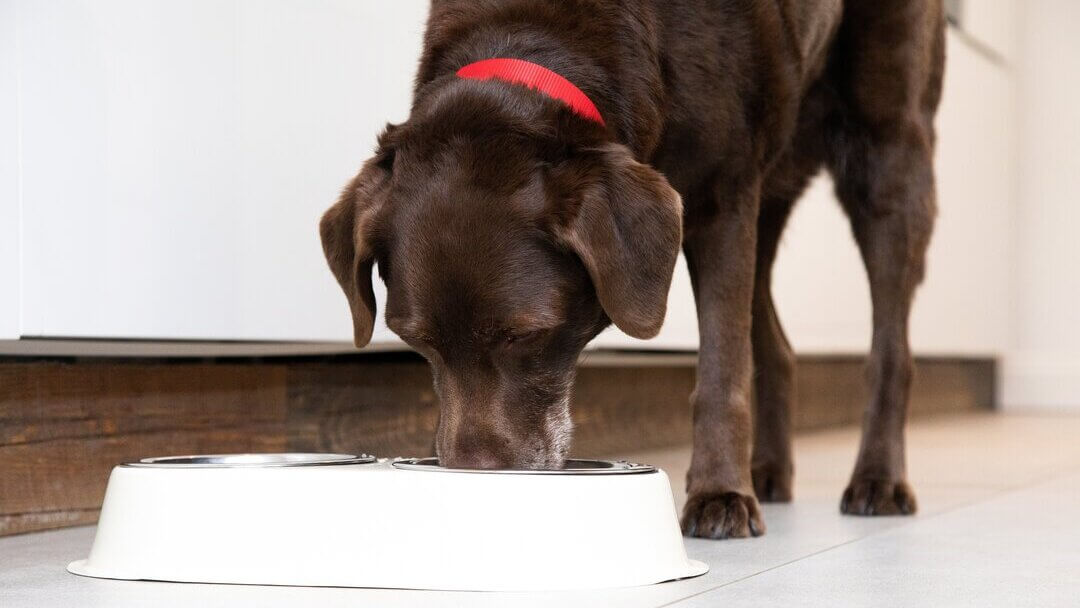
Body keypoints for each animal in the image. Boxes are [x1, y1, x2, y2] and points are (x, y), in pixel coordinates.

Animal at [319, 0, 946, 537]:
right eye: (415, 341)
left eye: (527, 335)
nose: (477, 480)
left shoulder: (723, 199)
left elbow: (721, 371)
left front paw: (719, 494)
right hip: (773, 189)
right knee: (777, 343)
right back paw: (769, 470)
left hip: (887, 155)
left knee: (890, 347)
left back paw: (878, 479)